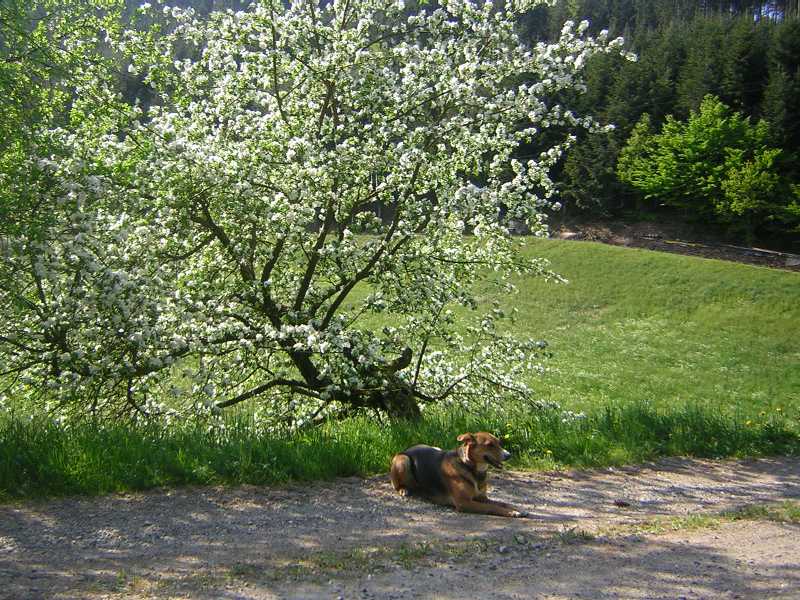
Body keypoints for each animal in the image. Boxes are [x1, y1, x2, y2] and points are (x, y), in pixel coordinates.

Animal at [390, 428, 528, 516]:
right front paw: (512, 512)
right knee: (397, 485)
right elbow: (492, 507)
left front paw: (515, 508)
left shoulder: (482, 498)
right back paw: (404, 490)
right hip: (403, 460)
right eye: (489, 445)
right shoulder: (464, 503)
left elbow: (502, 503)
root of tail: (407, 449)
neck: (470, 467)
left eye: (499, 443)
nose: (509, 455)